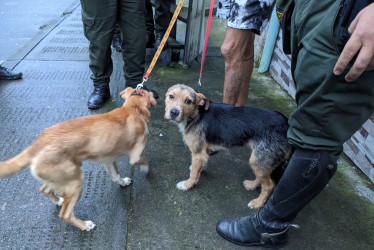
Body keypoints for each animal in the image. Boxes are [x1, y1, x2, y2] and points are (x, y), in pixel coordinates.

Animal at [0, 87, 156, 230]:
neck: (133, 107)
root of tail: (38, 143)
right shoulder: (135, 155)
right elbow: (144, 160)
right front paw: (146, 170)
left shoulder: (108, 160)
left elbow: (116, 176)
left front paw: (123, 182)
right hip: (75, 181)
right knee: (65, 214)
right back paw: (85, 225)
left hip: (61, 177)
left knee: (44, 189)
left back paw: (58, 201)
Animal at [164, 84, 292, 209]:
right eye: (171, 96)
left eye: (188, 101)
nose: (174, 112)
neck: (196, 115)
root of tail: (286, 124)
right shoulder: (205, 150)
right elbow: (201, 165)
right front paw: (201, 170)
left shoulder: (198, 152)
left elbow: (194, 173)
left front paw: (188, 185)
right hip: (261, 160)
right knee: (263, 177)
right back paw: (251, 185)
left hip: (259, 159)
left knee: (269, 186)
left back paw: (257, 203)